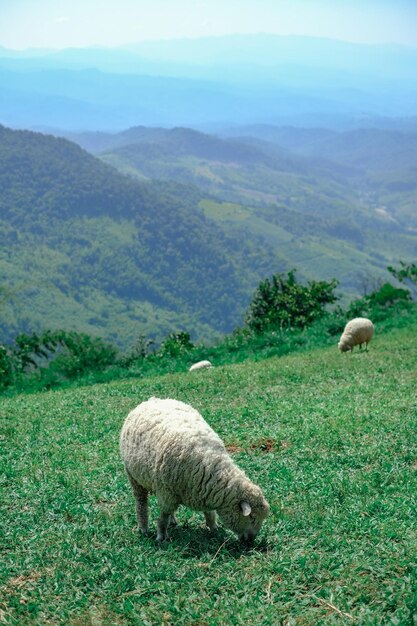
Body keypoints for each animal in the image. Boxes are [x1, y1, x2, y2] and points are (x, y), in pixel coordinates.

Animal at [118, 398, 268, 540]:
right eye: (252, 517)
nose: (250, 541)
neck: (209, 465)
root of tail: (152, 400)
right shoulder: (166, 492)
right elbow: (163, 516)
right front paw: (161, 536)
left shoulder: (203, 491)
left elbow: (209, 513)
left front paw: (214, 529)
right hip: (134, 477)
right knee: (141, 503)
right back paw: (143, 528)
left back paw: (172, 521)